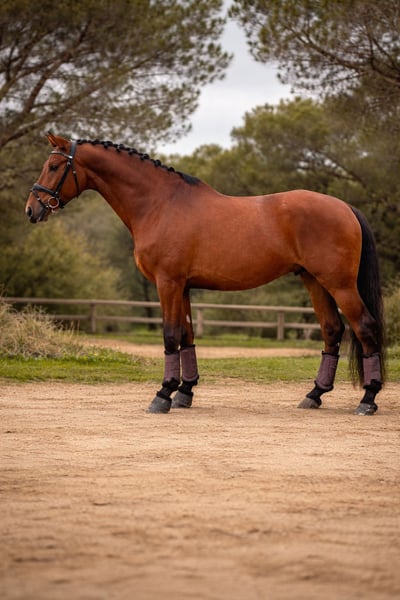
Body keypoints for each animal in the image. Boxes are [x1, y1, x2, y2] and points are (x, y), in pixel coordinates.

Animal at [25, 133, 385, 415]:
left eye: (54, 167)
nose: (32, 209)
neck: (160, 204)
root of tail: (345, 207)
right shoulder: (183, 287)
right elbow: (187, 335)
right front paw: (184, 392)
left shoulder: (168, 283)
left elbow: (170, 335)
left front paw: (163, 394)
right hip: (314, 281)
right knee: (332, 330)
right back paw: (314, 395)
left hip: (339, 285)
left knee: (365, 327)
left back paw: (368, 399)